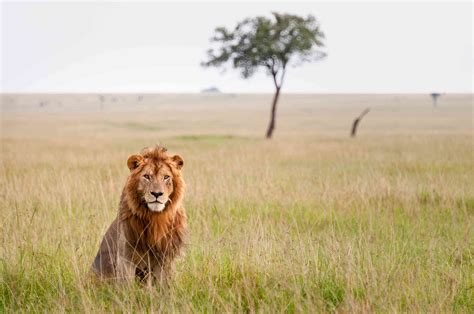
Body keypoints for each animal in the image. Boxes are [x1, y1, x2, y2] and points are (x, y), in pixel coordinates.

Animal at [90, 145, 186, 284]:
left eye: (166, 177)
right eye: (146, 176)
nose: (157, 194)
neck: (156, 218)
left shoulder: (165, 259)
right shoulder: (126, 257)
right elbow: (126, 285)